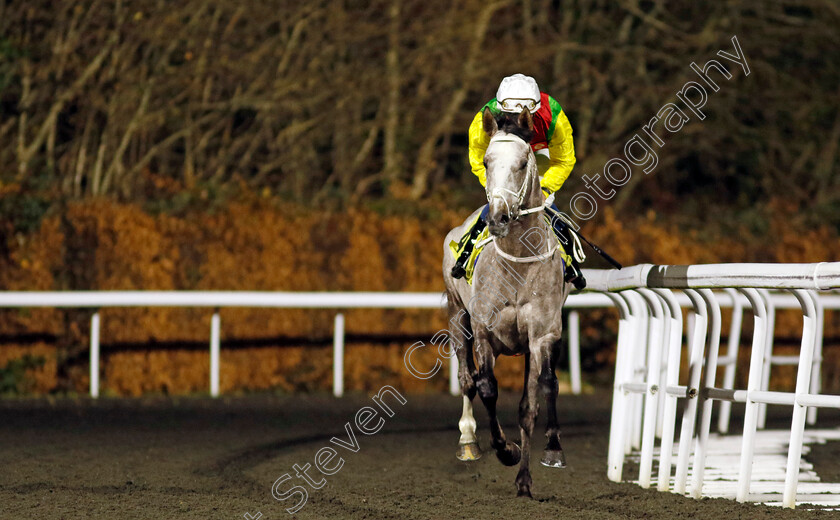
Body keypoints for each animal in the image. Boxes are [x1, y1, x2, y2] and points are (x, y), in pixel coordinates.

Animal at [440, 106, 572, 500]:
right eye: (486, 160)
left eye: (523, 161)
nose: (498, 216)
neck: (517, 262)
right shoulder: (484, 329)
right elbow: (486, 387)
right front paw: (505, 450)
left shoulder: (541, 335)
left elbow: (532, 403)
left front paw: (525, 477)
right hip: (457, 316)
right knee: (468, 379)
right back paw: (469, 441)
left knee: (548, 383)